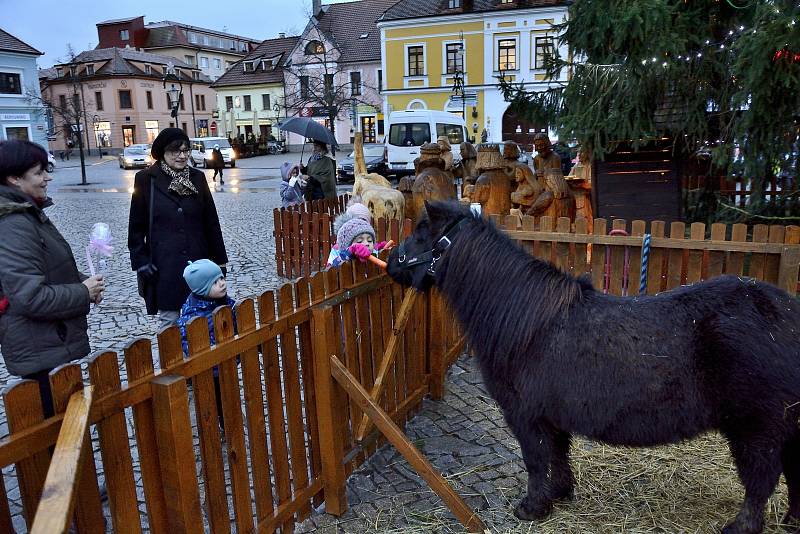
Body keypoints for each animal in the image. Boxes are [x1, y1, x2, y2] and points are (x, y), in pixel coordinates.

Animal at [388, 202, 800, 534]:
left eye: (421, 231)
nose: (392, 262)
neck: (527, 324)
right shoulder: (551, 416)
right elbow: (558, 455)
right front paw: (560, 494)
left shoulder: (525, 416)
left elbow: (536, 460)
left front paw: (532, 508)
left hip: (757, 429)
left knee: (761, 480)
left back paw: (742, 526)